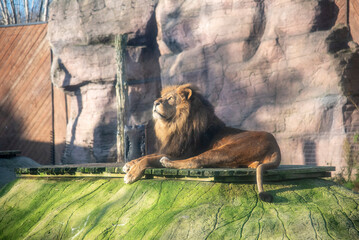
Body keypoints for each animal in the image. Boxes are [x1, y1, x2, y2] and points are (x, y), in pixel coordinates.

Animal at [124, 83, 282, 202]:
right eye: (161, 98)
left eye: (169, 99)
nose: (155, 102)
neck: (174, 124)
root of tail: (276, 147)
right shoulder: (169, 149)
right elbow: (146, 156)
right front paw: (129, 164)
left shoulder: (180, 153)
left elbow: (148, 159)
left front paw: (131, 174)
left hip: (226, 150)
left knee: (195, 162)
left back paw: (166, 163)